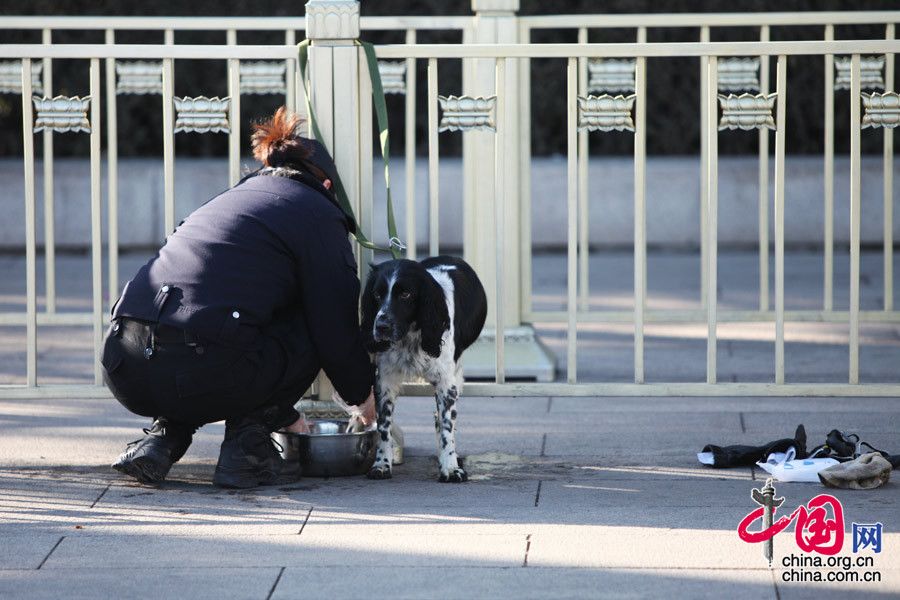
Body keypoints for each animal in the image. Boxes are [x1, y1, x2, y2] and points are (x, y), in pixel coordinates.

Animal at [360, 255, 488, 480]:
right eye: (377, 294)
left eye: (406, 294)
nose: (381, 327)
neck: (411, 336)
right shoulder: (385, 379)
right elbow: (383, 426)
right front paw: (382, 464)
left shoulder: (447, 382)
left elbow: (446, 426)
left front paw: (450, 467)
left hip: (457, 375)